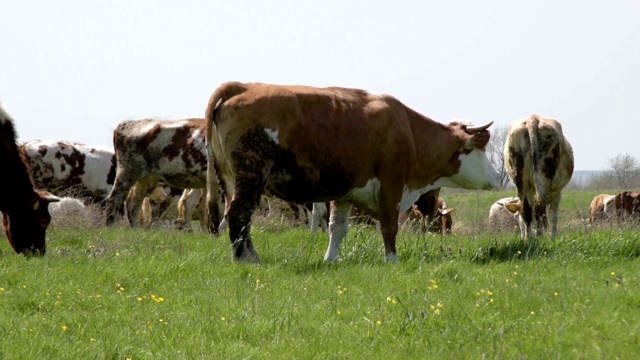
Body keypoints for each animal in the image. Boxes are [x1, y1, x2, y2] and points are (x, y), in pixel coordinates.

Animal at [202, 81, 498, 262]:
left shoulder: (345, 193)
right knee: (239, 214)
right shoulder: (391, 185)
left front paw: (330, 259)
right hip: (251, 176)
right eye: (482, 148)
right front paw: (392, 259)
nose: (497, 177)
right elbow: (389, 226)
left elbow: (337, 228)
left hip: (230, 179)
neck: (407, 129)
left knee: (234, 216)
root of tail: (243, 86)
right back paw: (247, 260)